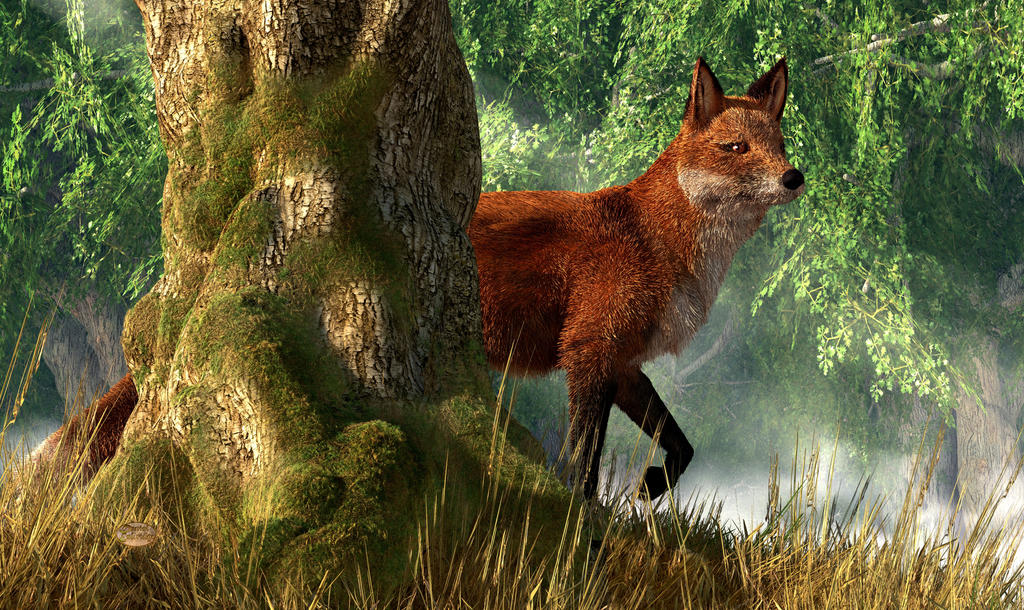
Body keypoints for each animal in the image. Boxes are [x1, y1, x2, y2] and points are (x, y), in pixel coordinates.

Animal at [31, 56, 803, 502]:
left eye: (779, 144)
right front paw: (586, 527)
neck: (658, 243)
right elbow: (583, 464)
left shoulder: (621, 363)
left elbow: (684, 446)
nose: (796, 177)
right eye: (736, 148)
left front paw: (650, 487)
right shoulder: (588, 355)